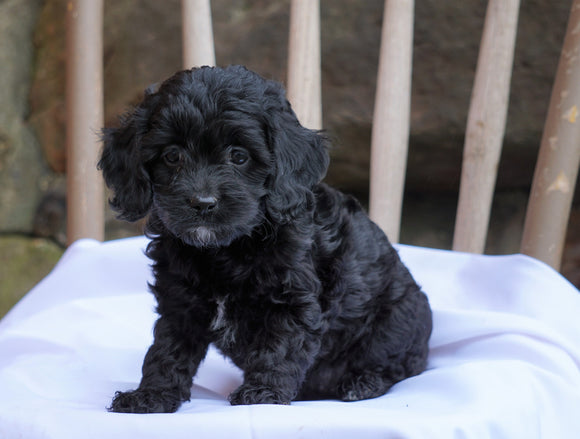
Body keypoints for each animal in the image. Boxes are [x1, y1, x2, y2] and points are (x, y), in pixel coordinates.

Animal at [99, 64, 432, 412]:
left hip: (396, 323)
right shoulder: (179, 302)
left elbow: (279, 347)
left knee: (399, 365)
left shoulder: (291, 301)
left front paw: (262, 394)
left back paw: (362, 383)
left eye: (239, 156)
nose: (202, 203)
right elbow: (167, 350)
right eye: (172, 156)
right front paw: (151, 394)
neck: (225, 249)